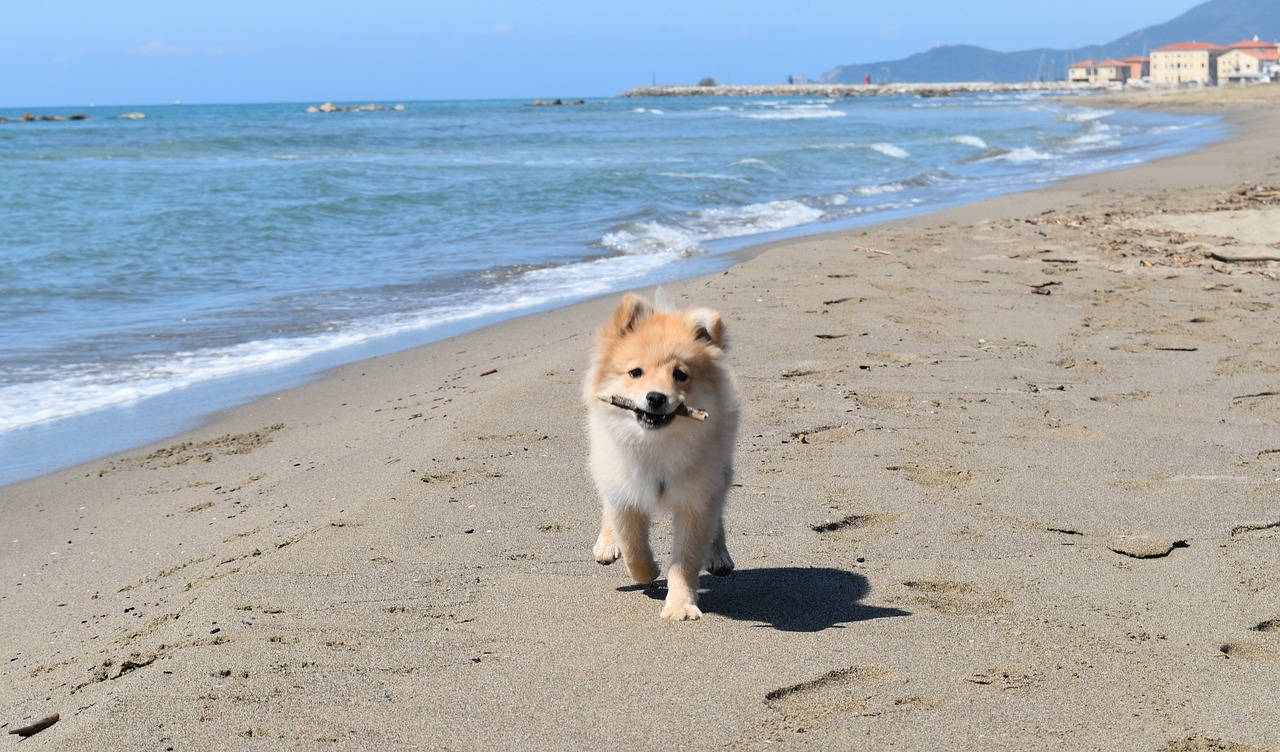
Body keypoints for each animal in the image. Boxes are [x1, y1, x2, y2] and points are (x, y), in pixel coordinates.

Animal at [583, 290, 742, 618]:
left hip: (720, 473)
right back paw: (606, 544)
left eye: (680, 375)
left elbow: (686, 560)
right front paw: (648, 571)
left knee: (718, 515)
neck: (655, 443)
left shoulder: (696, 499)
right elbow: (632, 547)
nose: (655, 397)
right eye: (635, 372)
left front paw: (680, 605)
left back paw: (719, 554)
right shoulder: (625, 492)